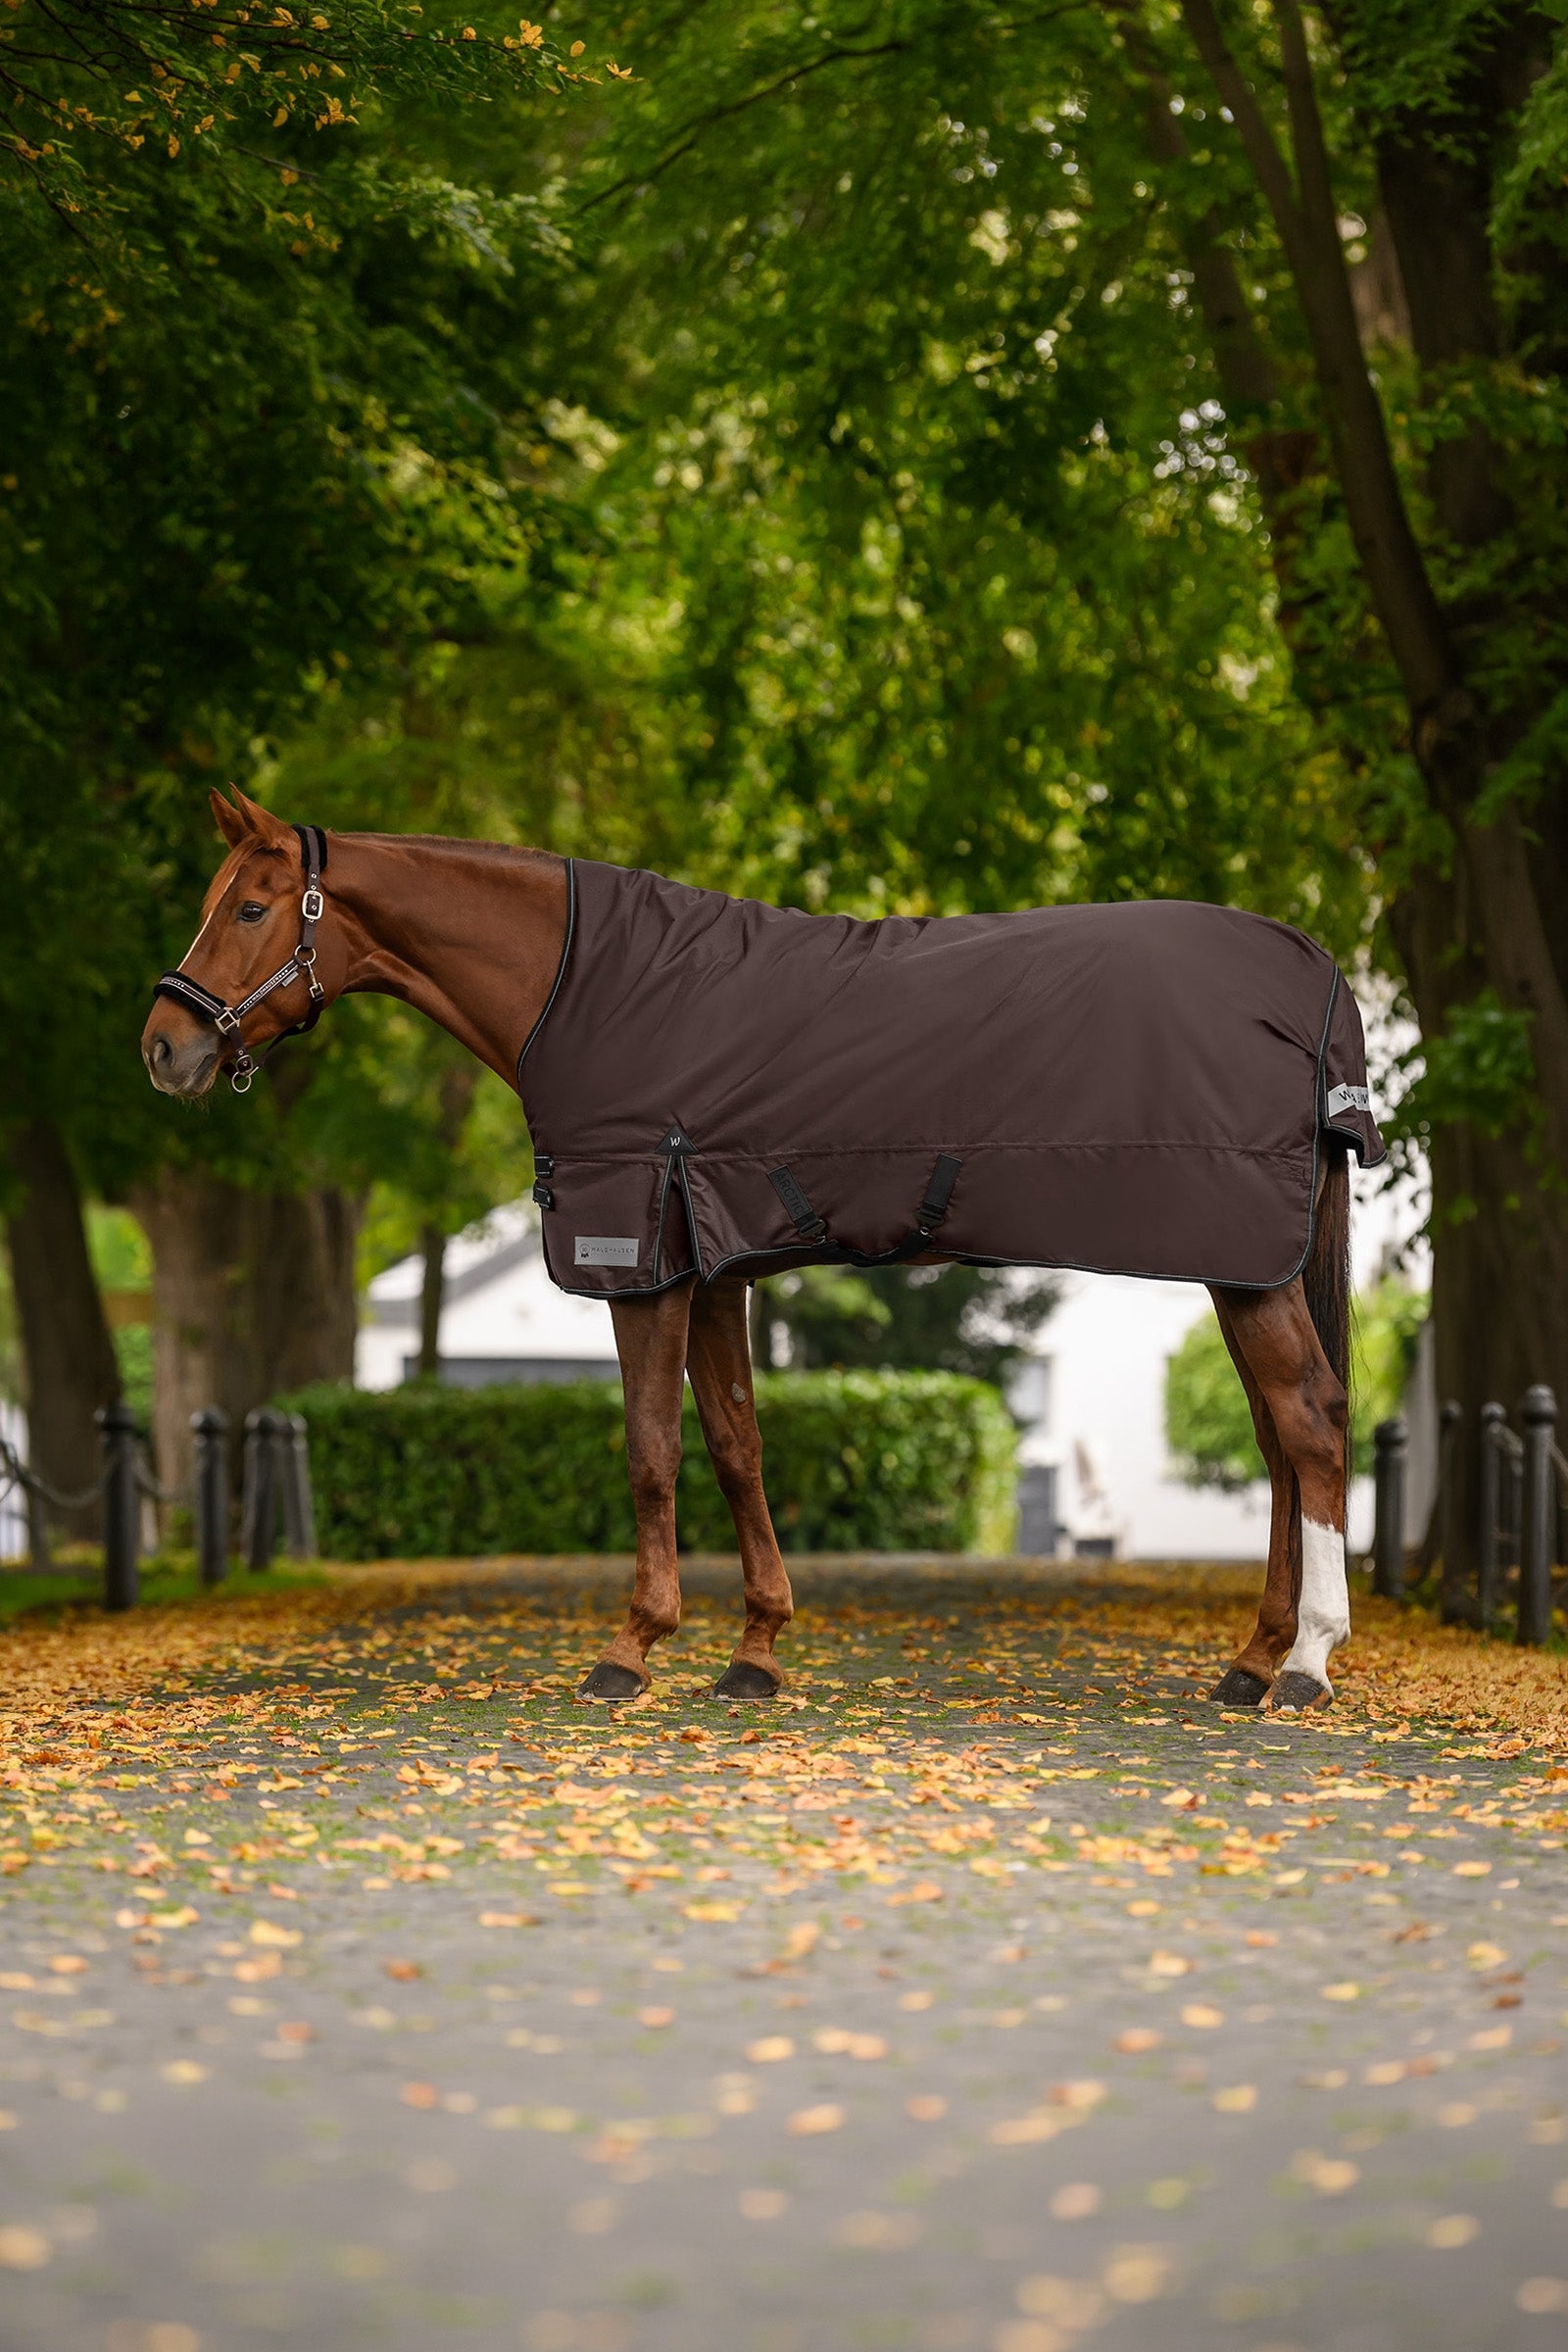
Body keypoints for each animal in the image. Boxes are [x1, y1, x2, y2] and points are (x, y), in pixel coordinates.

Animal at [142, 788, 1370, 1716]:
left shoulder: (639, 1262)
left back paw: (1306, 1663)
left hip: (1236, 1263)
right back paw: (1249, 1662)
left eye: (250, 906)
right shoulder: (715, 1270)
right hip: (1246, 1266)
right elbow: (737, 1446)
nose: (165, 1048)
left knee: (1307, 1424)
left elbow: (649, 1450)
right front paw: (755, 1651)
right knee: (1279, 1439)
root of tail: (1316, 977)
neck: (583, 985)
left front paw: (630, 1649)